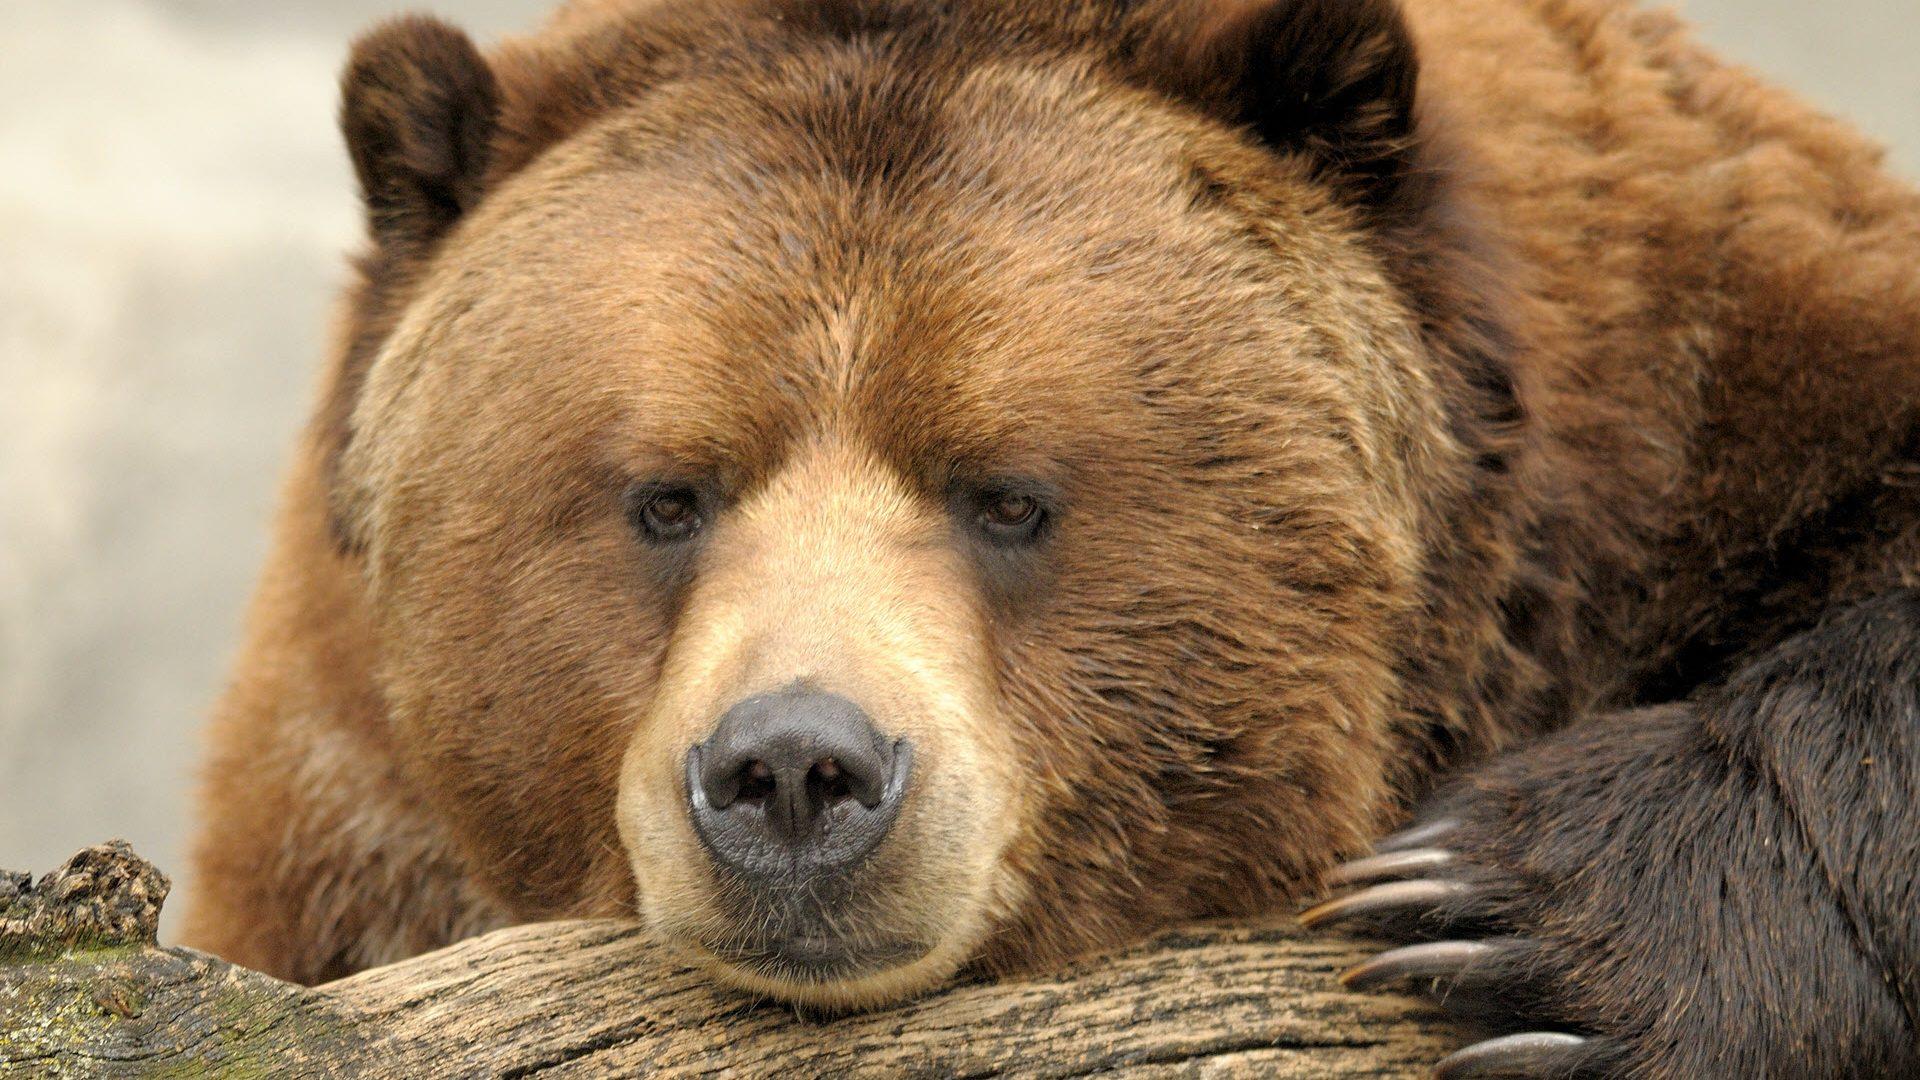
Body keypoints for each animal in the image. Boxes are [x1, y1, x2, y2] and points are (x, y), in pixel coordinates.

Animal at [183, 0, 1920, 1074]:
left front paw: (1504, 923)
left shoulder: (1690, 381)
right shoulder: (340, 825)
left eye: (1007, 494)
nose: (796, 772)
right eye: (666, 496)